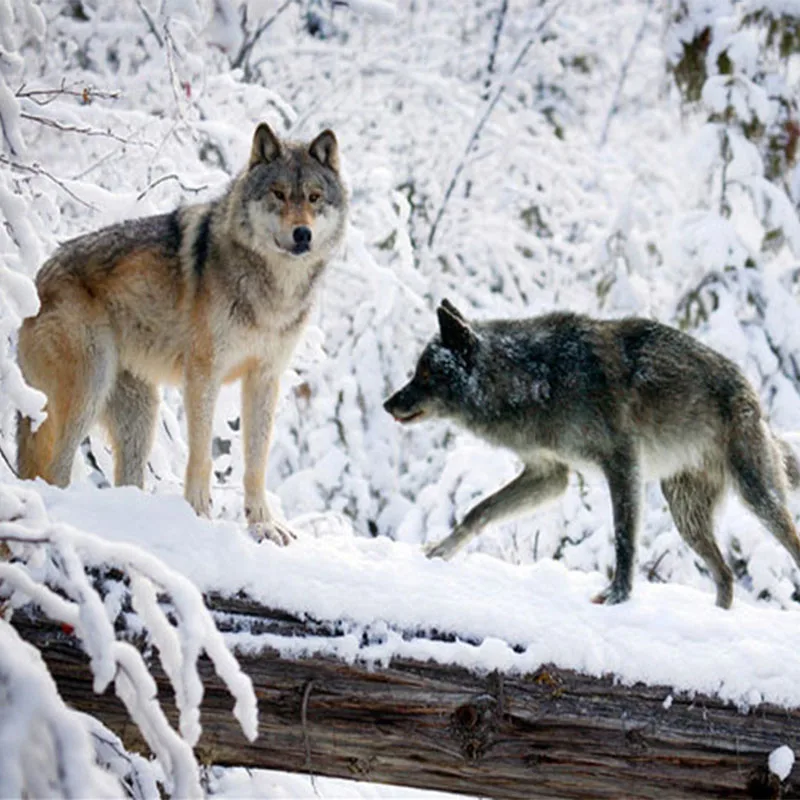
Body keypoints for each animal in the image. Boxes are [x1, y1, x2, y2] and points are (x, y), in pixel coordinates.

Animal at [17, 122, 348, 540]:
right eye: (279, 194)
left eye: (315, 197)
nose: (302, 234)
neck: (273, 290)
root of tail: (35, 282)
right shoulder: (203, 374)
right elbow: (202, 454)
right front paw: (199, 513)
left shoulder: (264, 378)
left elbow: (256, 461)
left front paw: (263, 524)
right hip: (88, 389)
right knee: (56, 470)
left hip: (141, 414)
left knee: (125, 477)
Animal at [382, 300, 800, 608]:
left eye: (425, 375)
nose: (387, 404)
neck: (537, 379)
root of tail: (752, 394)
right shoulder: (549, 475)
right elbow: (478, 511)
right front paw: (440, 551)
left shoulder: (621, 463)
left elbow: (624, 537)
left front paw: (618, 596)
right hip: (686, 518)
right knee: (726, 576)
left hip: (757, 499)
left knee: (786, 546)